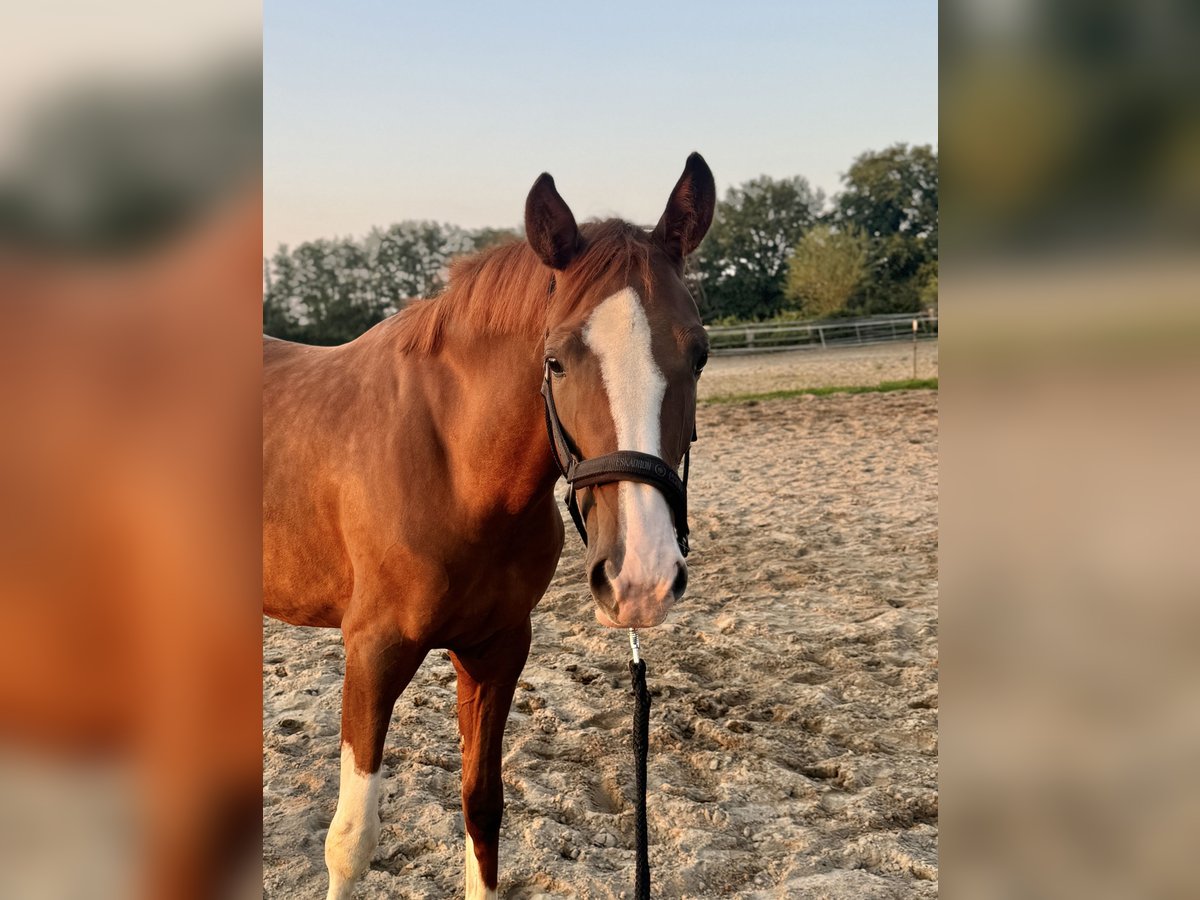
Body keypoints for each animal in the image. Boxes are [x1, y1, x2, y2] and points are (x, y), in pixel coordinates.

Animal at [262, 151, 710, 897]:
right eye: (555, 359)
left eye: (699, 354)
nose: (639, 578)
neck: (454, 468)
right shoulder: (373, 652)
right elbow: (351, 840)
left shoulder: (497, 649)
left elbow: (482, 810)